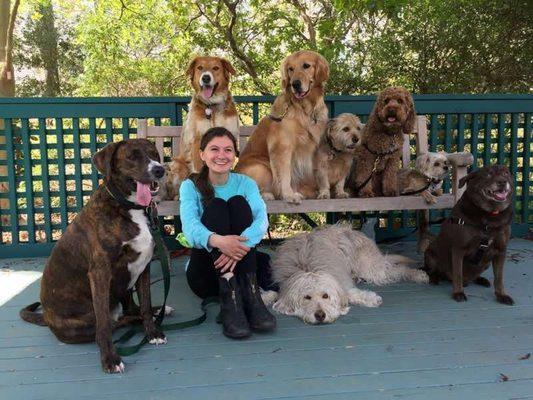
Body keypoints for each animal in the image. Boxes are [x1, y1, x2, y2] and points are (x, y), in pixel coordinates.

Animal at [19, 139, 166, 374]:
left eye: (154, 154)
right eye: (132, 156)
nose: (159, 170)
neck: (130, 207)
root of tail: (47, 318)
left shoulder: (144, 266)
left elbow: (144, 304)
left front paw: (152, 332)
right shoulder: (100, 274)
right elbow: (104, 324)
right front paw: (110, 359)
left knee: (130, 310)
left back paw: (159, 310)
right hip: (81, 322)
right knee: (112, 322)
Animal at [236, 50, 328, 203]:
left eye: (306, 66)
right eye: (290, 69)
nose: (295, 84)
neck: (304, 108)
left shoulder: (317, 146)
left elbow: (320, 171)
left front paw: (323, 192)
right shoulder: (281, 147)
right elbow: (284, 175)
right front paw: (289, 195)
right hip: (261, 167)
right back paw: (268, 195)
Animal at [262, 223, 428, 324]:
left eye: (326, 296)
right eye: (307, 297)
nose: (320, 315)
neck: (308, 268)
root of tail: (353, 231)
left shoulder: (341, 282)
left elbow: (350, 293)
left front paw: (371, 299)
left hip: (370, 268)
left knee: (397, 270)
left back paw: (418, 274)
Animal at [422, 164, 512, 304]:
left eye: (506, 173)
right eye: (488, 174)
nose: (502, 182)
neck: (489, 216)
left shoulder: (501, 250)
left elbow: (499, 277)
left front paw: (501, 295)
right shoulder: (459, 249)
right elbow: (458, 274)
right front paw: (458, 293)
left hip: (486, 263)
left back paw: (481, 279)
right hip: (430, 255)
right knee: (434, 271)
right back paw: (435, 278)